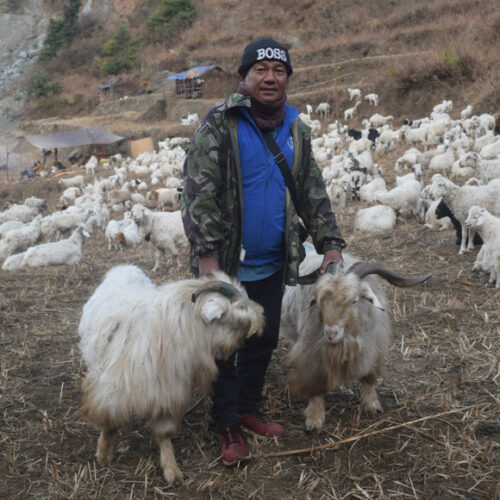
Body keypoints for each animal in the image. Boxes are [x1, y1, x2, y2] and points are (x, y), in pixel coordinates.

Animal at [78, 264, 265, 484]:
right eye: (236, 317)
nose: (243, 339)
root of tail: (124, 268)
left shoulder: (166, 391)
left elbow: (164, 433)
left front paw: (171, 469)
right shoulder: (112, 388)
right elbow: (108, 420)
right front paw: (104, 453)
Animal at [280, 251, 431, 431]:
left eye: (354, 300)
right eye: (320, 302)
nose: (331, 334)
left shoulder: (371, 346)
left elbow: (367, 376)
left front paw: (372, 405)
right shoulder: (313, 352)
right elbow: (315, 380)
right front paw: (314, 418)